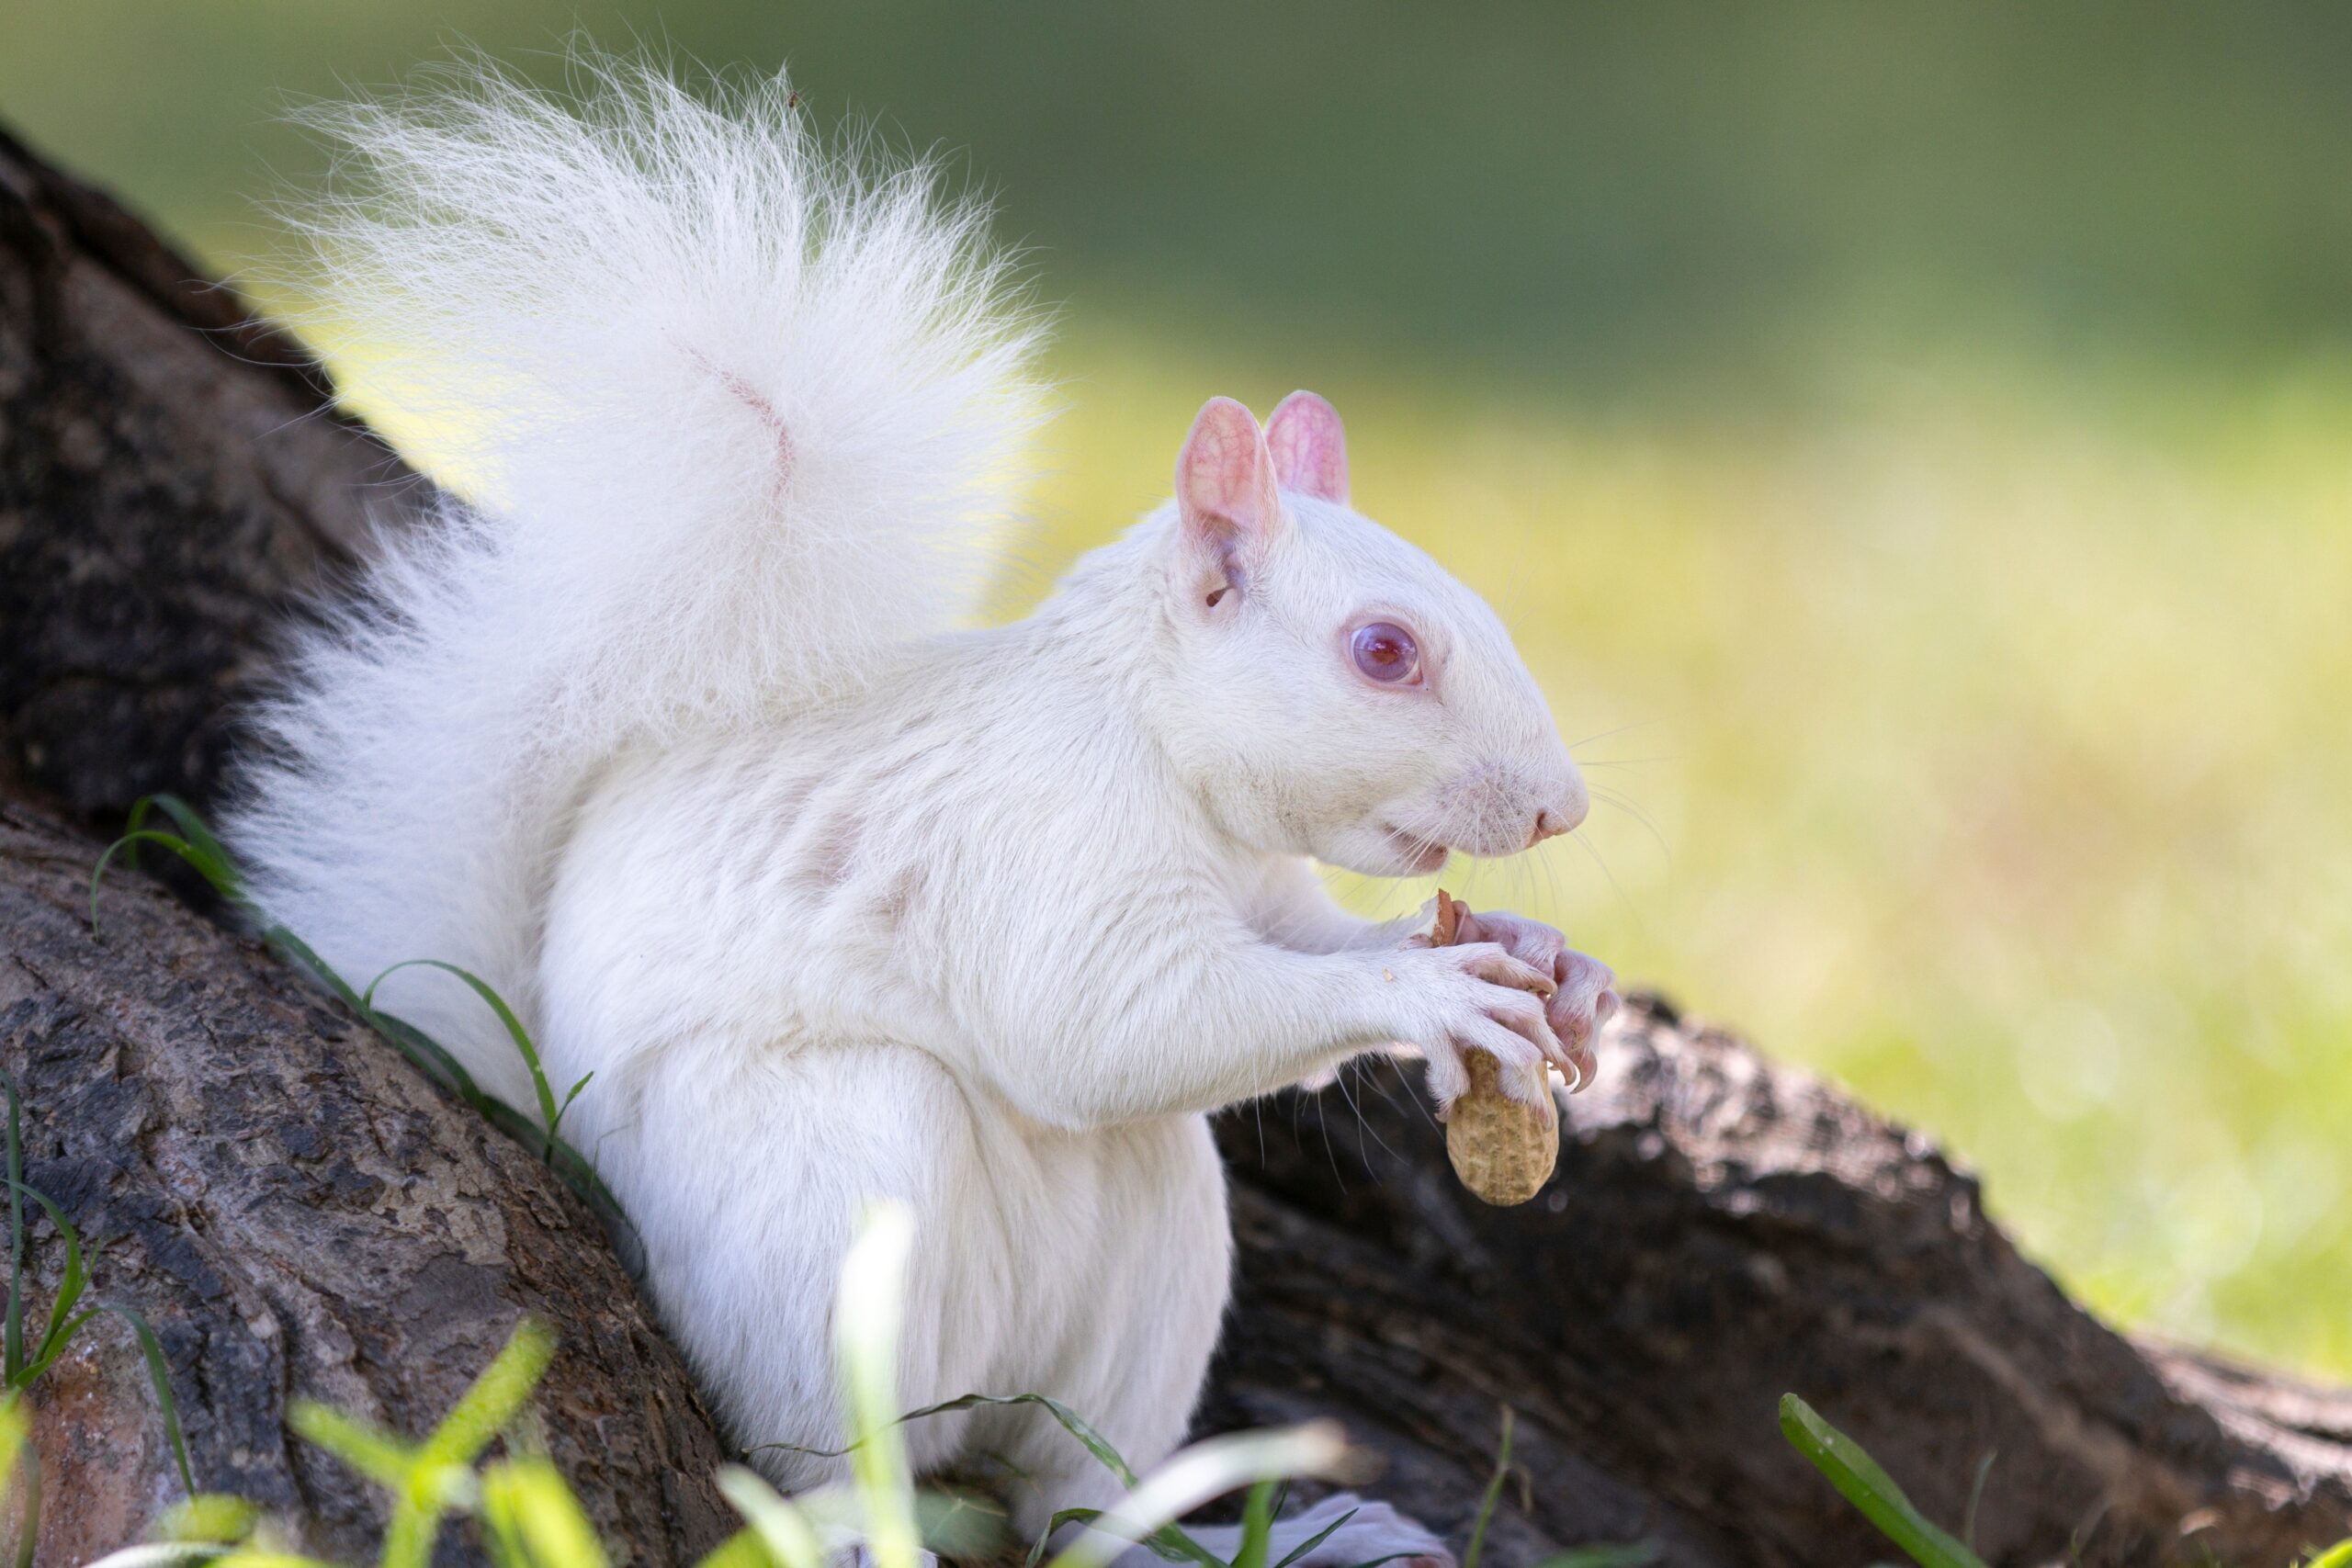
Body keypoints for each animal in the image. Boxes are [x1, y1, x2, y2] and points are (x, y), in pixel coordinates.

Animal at [224, 58, 1618, 1568]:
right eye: (1383, 652)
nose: (1562, 809)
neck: (1160, 751)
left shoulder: (1266, 891)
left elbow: (1304, 956)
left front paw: (1544, 963)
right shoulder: (1042, 836)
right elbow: (1104, 1026)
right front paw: (1436, 995)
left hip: (1144, 1272)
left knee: (1080, 1507)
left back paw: (1296, 1530)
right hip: (824, 1196)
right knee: (826, 1450)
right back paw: (859, 1524)